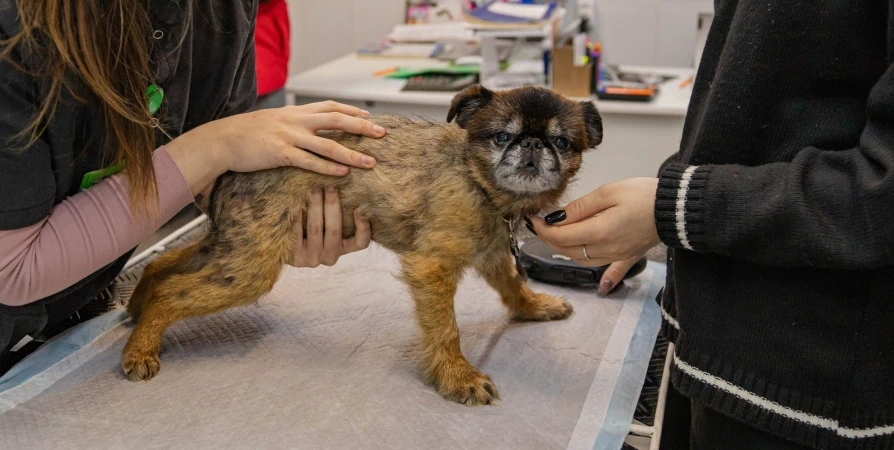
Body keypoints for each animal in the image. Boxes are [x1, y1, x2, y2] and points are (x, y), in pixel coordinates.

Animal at [122, 86, 604, 406]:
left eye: (561, 142)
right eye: (502, 136)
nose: (533, 143)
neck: (476, 180)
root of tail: (230, 172)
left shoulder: (491, 254)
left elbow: (512, 285)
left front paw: (535, 306)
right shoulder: (431, 268)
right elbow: (446, 330)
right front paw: (456, 376)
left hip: (232, 247)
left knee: (160, 266)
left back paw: (137, 310)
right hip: (248, 268)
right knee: (173, 291)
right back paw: (141, 347)